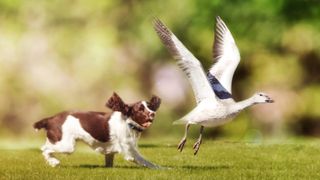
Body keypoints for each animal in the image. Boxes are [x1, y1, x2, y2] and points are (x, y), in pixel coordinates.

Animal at [33, 93, 161, 169]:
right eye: (140, 109)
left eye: (150, 107)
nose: (153, 113)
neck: (127, 122)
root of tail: (51, 119)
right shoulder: (130, 152)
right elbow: (148, 162)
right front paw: (163, 169)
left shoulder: (110, 151)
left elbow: (109, 163)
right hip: (67, 146)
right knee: (44, 149)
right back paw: (53, 162)